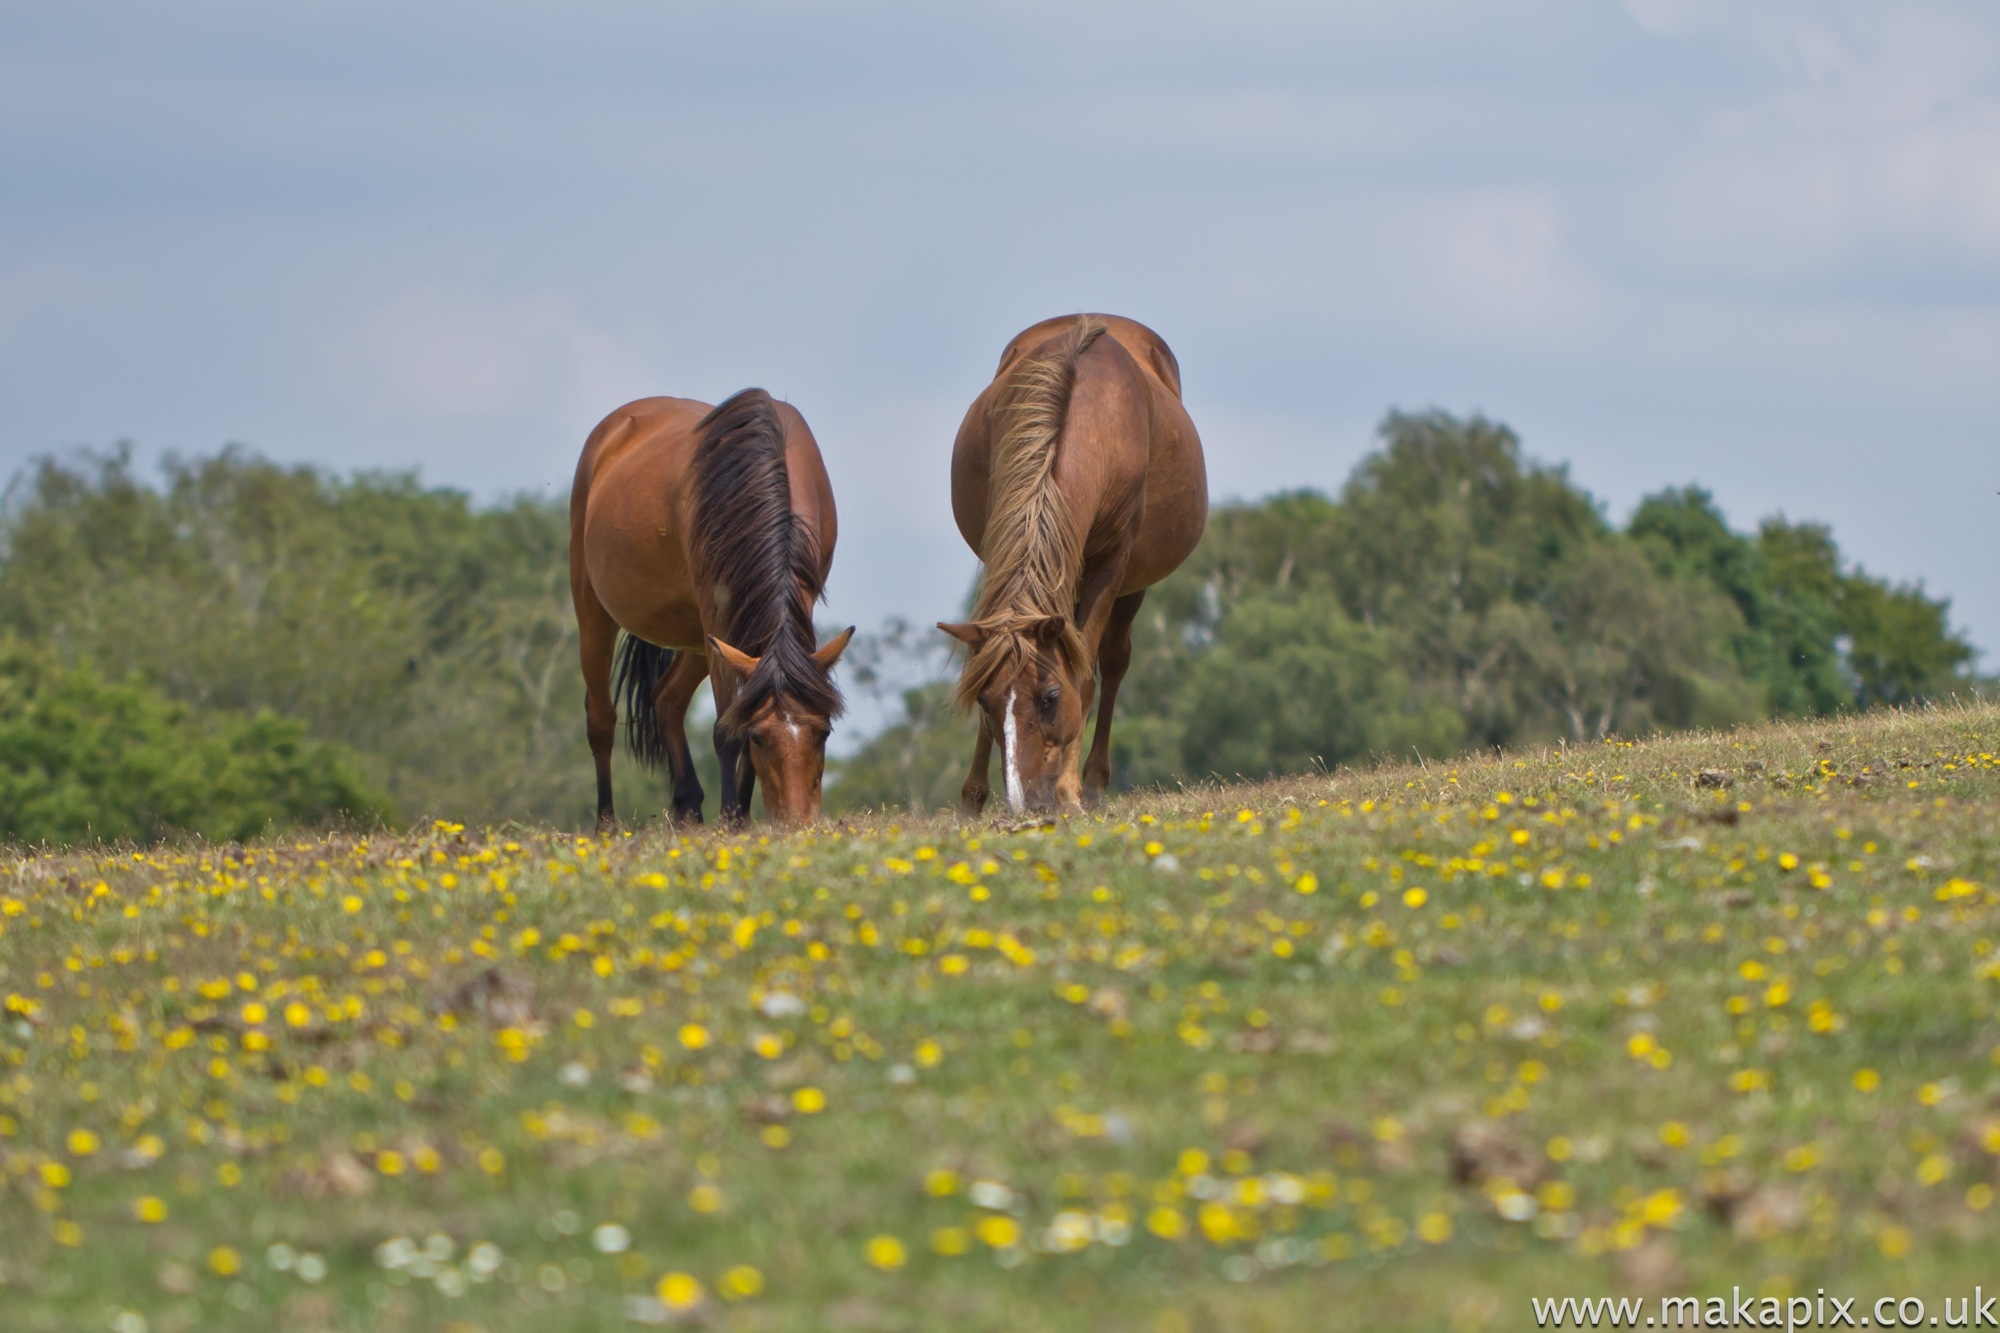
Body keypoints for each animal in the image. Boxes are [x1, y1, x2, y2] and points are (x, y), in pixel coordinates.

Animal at [564, 384, 852, 824]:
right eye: (759, 738)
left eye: (824, 731)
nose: (796, 821)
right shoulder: (717, 612)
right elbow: (726, 729)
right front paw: (732, 819)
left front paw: (741, 816)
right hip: (596, 610)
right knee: (601, 719)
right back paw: (607, 824)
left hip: (700, 634)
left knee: (666, 698)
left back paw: (688, 807)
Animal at [944, 314, 1208, 808]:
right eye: (986, 702)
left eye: (1049, 697)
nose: (1025, 800)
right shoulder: (997, 552)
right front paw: (972, 796)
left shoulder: (1112, 562)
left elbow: (1085, 673)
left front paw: (1070, 791)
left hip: (1132, 584)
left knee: (1115, 662)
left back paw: (1095, 782)